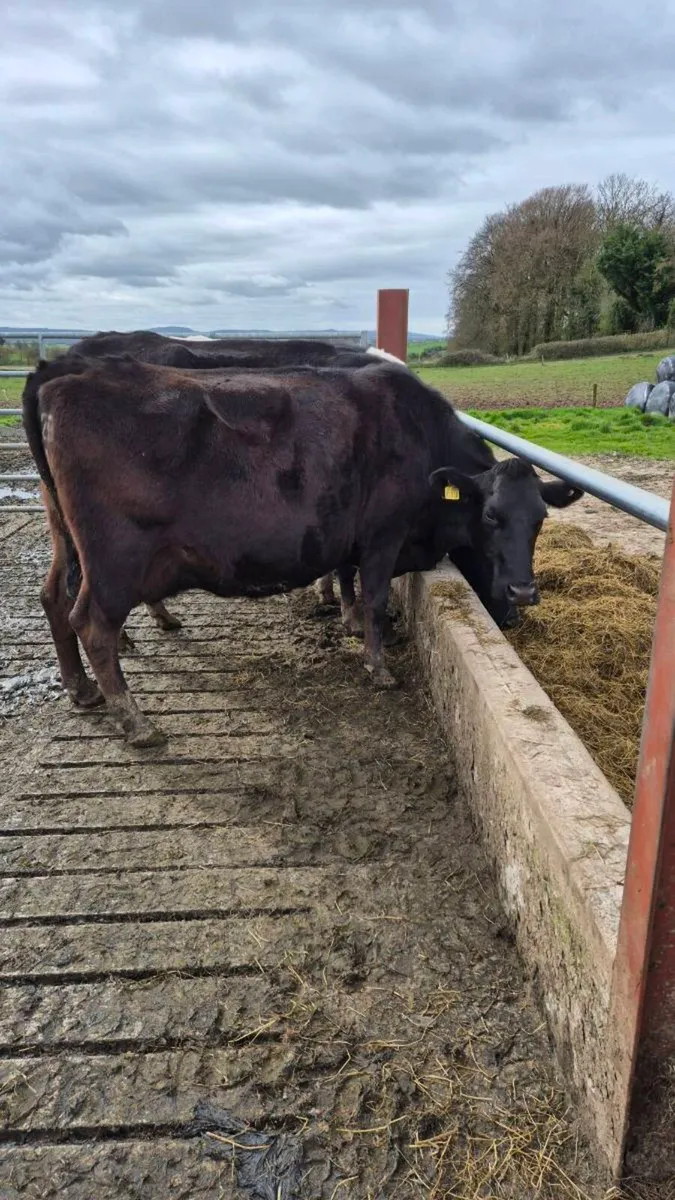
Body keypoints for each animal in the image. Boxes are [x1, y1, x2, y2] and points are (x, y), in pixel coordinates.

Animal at [23, 355, 581, 748]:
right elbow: (375, 597)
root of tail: (59, 381)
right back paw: (135, 721)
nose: (523, 591)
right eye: (491, 516)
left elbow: (347, 578)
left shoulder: (351, 537)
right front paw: (377, 665)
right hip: (114, 561)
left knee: (54, 598)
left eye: (541, 519)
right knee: (92, 623)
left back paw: (82, 689)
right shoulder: (383, 535)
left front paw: (350, 623)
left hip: (69, 542)